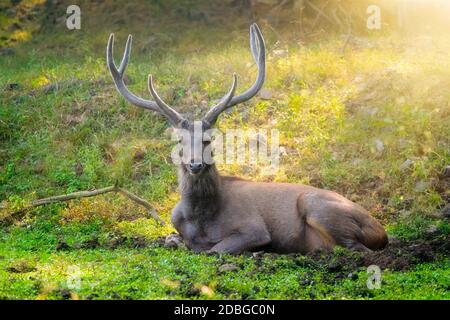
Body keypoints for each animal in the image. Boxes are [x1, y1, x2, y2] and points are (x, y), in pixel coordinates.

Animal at [107, 23, 388, 254]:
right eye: (179, 141)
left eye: (208, 140)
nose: (195, 164)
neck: (201, 219)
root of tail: (382, 231)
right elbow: (174, 241)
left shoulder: (254, 228)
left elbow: (214, 249)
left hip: (318, 206)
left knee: (357, 248)